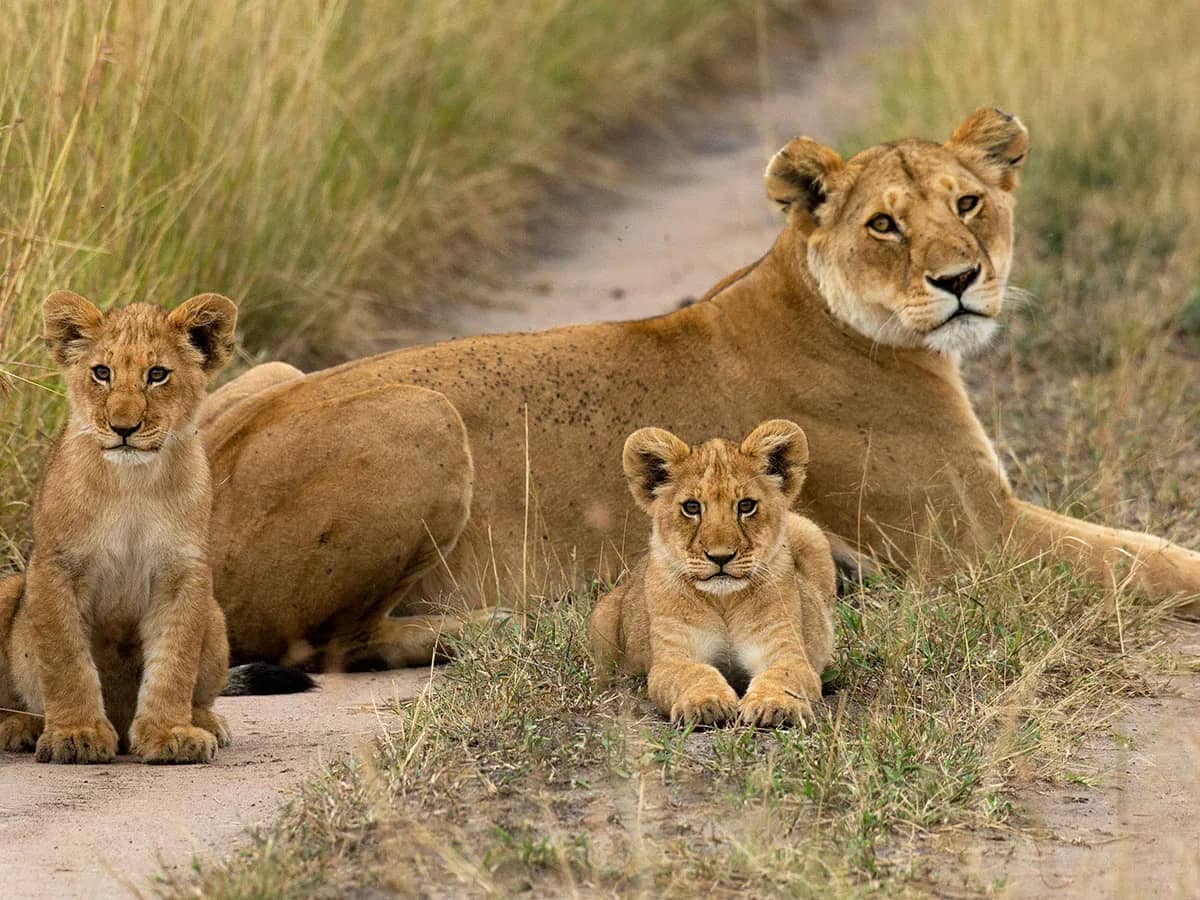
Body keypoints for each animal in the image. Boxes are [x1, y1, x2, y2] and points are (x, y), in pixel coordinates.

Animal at [0, 292, 241, 764]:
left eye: (157, 375)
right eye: (102, 372)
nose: (123, 427)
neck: (132, 484)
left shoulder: (183, 572)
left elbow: (174, 661)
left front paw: (170, 734)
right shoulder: (56, 567)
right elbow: (65, 658)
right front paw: (76, 734)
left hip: (216, 615)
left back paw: (205, 722)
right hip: (10, 589)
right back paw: (20, 728)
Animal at [193, 107, 1199, 669]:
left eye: (968, 203)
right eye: (883, 225)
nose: (960, 280)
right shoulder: (973, 541)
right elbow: (1144, 559)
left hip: (269, 374)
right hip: (421, 411)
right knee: (322, 642)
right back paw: (493, 630)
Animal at [589, 421, 835, 727]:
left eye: (746, 505)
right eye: (692, 507)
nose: (720, 557)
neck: (723, 600)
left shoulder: (786, 650)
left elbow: (783, 675)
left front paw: (774, 705)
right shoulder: (672, 657)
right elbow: (693, 673)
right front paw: (706, 702)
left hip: (808, 531)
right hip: (602, 620)